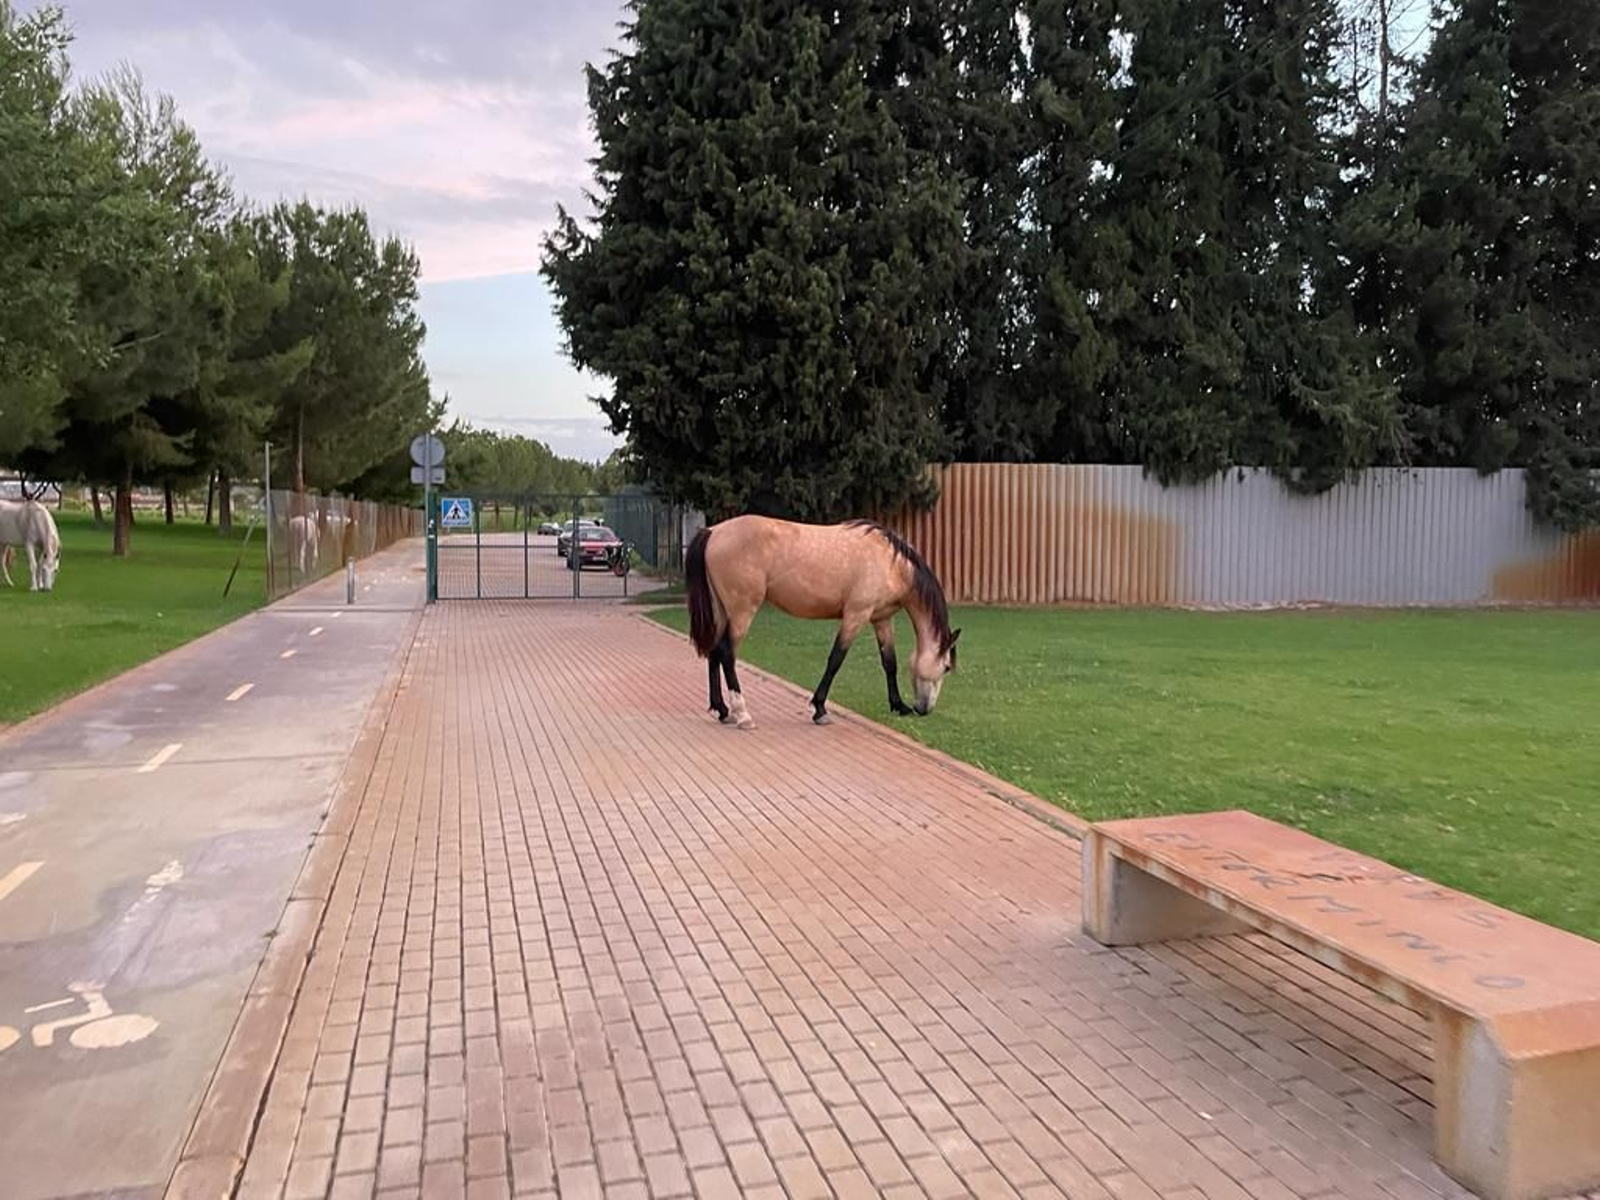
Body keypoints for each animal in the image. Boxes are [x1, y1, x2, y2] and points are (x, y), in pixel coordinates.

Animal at [684, 515, 960, 730]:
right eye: (946, 667)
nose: (924, 709)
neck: (890, 563)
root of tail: (713, 531)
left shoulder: (881, 619)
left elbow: (889, 662)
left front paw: (898, 705)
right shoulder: (856, 616)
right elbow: (835, 660)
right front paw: (820, 710)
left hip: (722, 611)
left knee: (714, 653)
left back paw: (722, 710)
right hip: (742, 612)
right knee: (727, 653)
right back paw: (742, 714)